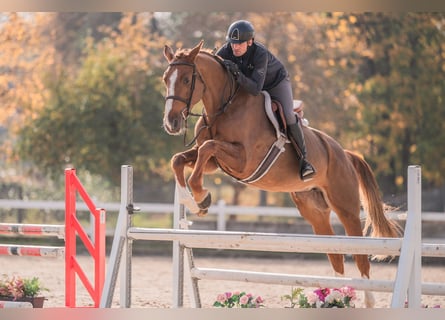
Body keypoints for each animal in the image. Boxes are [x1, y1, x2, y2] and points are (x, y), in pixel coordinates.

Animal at [161, 40, 400, 308]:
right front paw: (192, 201)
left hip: (345, 207)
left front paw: (202, 197)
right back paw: (337, 297)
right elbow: (179, 159)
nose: (170, 123)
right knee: (335, 254)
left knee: (360, 254)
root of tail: (345, 153)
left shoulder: (244, 160)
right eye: (165, 79)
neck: (225, 106)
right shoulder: (215, 163)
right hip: (314, 211)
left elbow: (206, 148)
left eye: (185, 79)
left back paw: (366, 299)